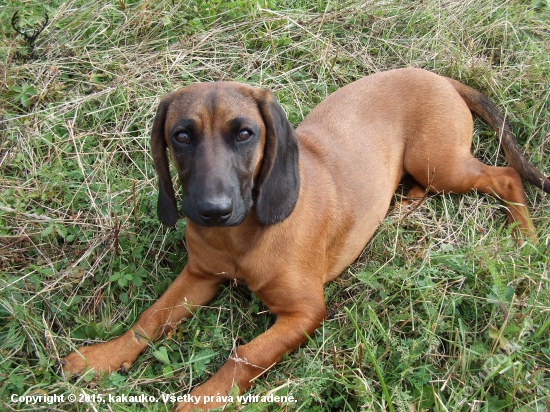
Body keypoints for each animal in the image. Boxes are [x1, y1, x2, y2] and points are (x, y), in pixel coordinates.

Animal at [61, 67, 550, 408]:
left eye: (245, 133)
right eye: (181, 135)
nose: (213, 211)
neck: (241, 238)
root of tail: (440, 77)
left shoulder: (305, 312)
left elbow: (246, 355)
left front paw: (200, 401)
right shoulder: (199, 276)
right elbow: (150, 318)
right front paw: (103, 357)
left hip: (439, 163)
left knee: (505, 177)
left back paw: (525, 239)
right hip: (430, 168)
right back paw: (400, 208)